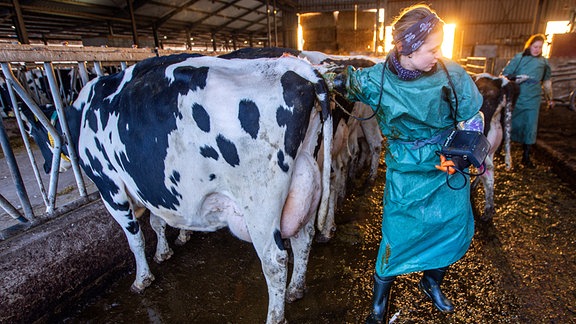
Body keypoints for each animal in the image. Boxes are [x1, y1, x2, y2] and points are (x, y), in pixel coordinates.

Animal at [25, 53, 332, 324]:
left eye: (37, 136)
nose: (47, 166)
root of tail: (297, 69)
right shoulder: (152, 187)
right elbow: (157, 221)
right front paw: (164, 252)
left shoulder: (109, 184)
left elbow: (135, 238)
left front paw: (142, 279)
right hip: (304, 179)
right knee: (303, 237)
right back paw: (296, 289)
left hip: (259, 204)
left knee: (275, 261)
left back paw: (275, 316)